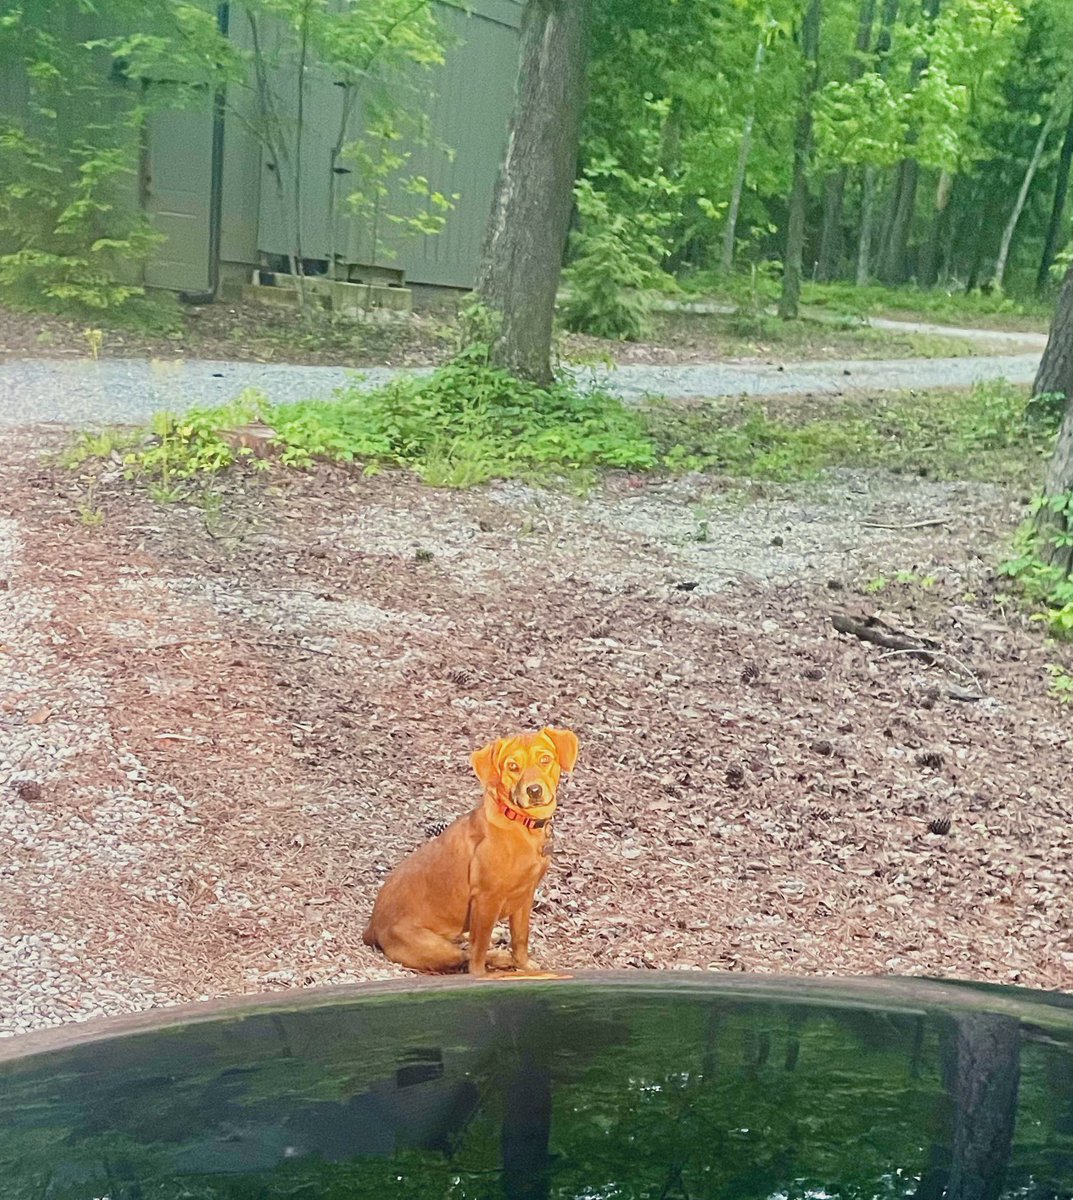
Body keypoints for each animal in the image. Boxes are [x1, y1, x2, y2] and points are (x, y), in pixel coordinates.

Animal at [360, 724, 580, 979]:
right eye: (512, 766)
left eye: (545, 759)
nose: (534, 790)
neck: (521, 824)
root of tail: (372, 927)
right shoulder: (486, 899)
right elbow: (477, 955)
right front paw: (491, 972)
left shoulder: (526, 895)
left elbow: (520, 938)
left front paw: (525, 965)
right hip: (434, 947)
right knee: (463, 955)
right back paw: (499, 957)